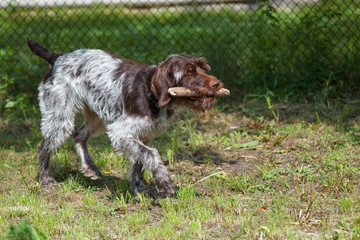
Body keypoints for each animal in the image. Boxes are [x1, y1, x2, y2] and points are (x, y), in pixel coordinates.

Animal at [26, 38, 224, 195]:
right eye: (188, 72)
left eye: (203, 68)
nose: (217, 83)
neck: (151, 93)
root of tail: (57, 58)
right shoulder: (120, 132)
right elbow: (150, 154)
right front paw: (163, 181)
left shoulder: (142, 135)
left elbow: (139, 162)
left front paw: (138, 188)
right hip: (60, 117)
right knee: (44, 146)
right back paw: (46, 180)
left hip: (96, 118)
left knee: (79, 135)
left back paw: (90, 167)